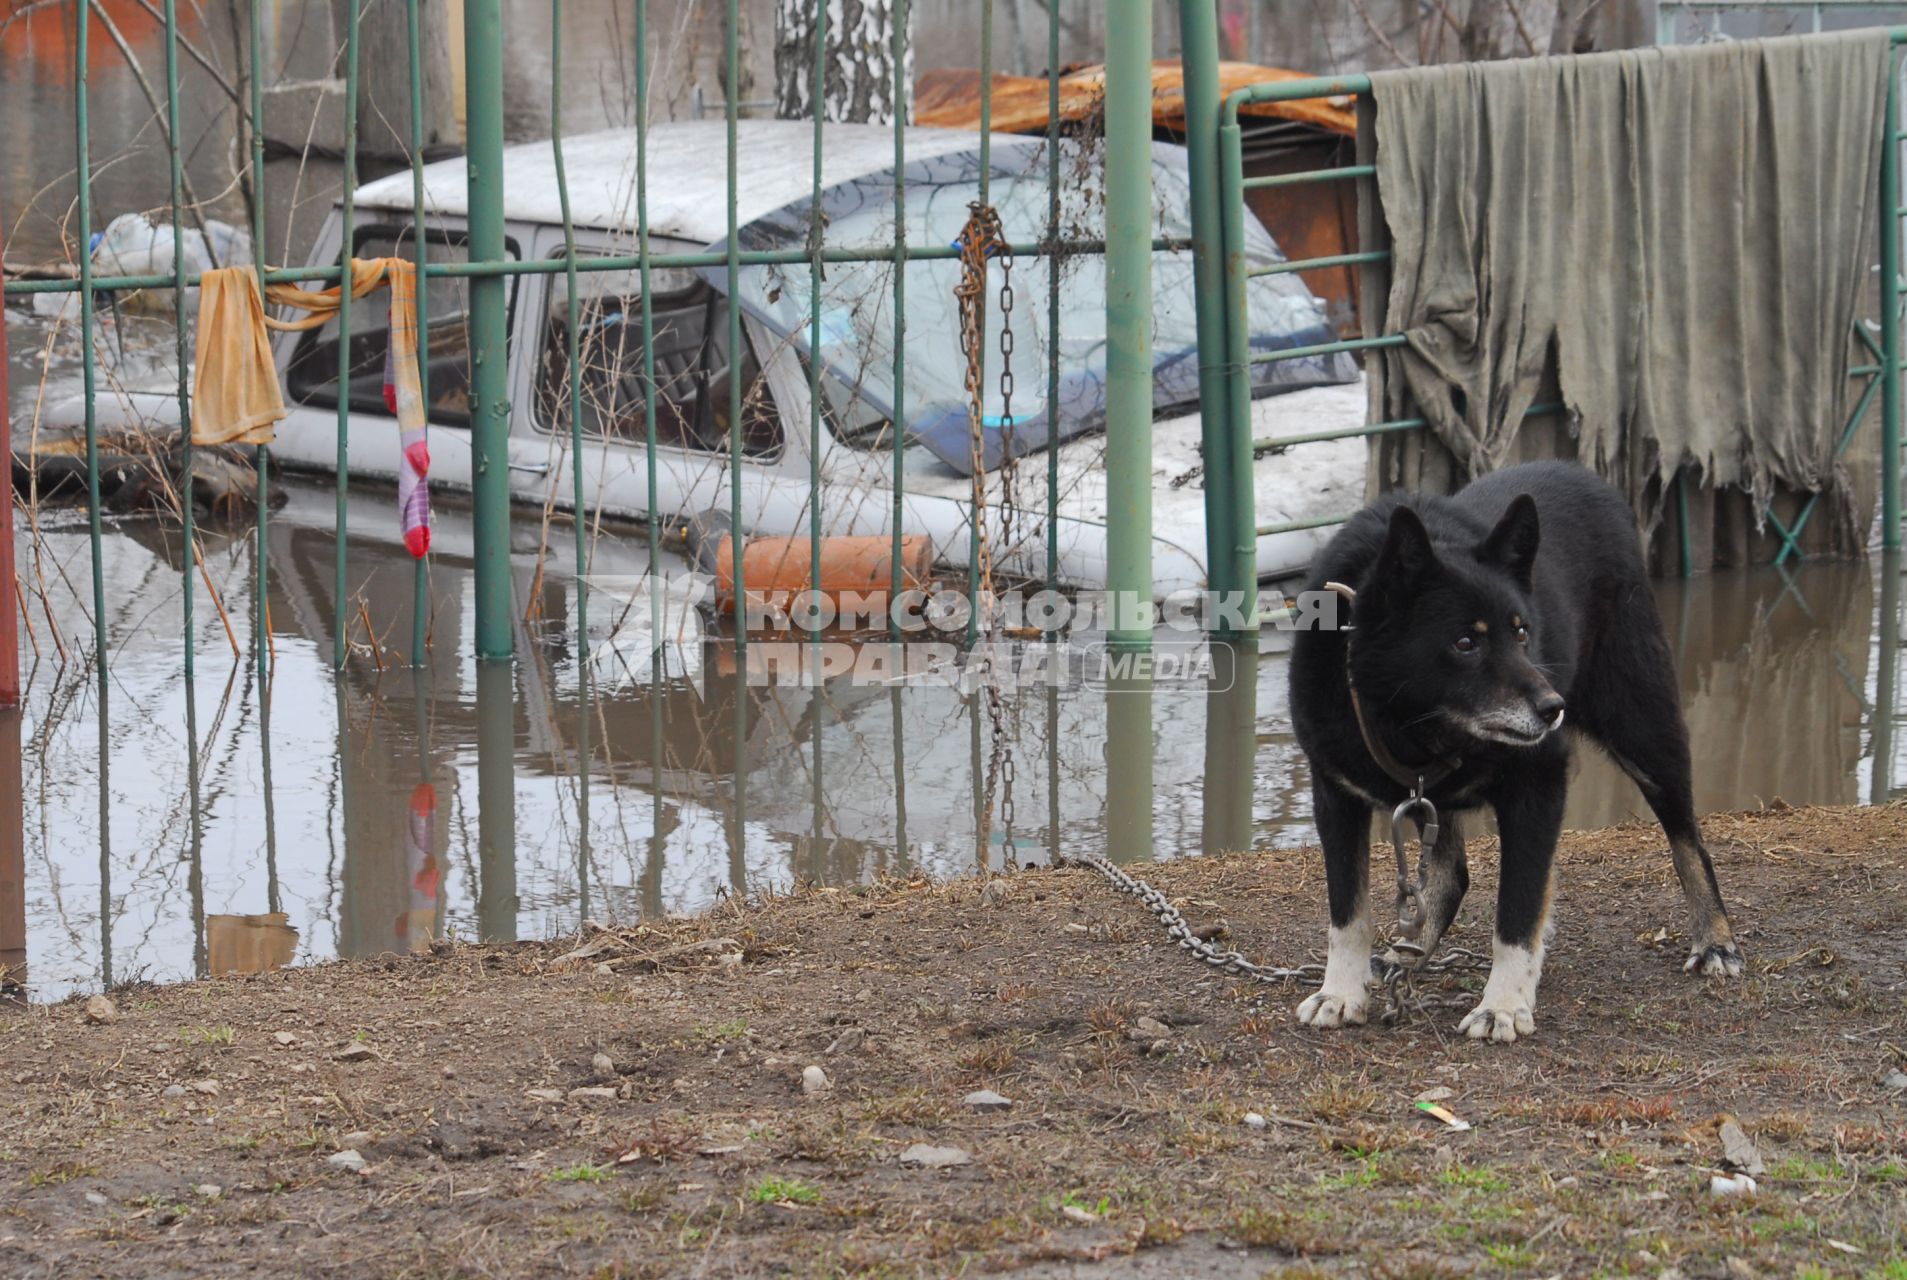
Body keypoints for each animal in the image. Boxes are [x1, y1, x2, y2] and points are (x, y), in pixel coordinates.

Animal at [1289, 461, 1739, 1037]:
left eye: (1523, 633)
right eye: (1465, 642)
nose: (1554, 709)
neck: (1413, 726)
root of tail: (1589, 478)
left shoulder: (1537, 786)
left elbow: (1518, 910)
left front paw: (1502, 1004)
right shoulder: (1336, 793)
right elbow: (1347, 911)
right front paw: (1341, 993)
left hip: (1645, 728)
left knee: (1688, 837)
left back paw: (1716, 939)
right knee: (1452, 875)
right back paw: (1407, 955)